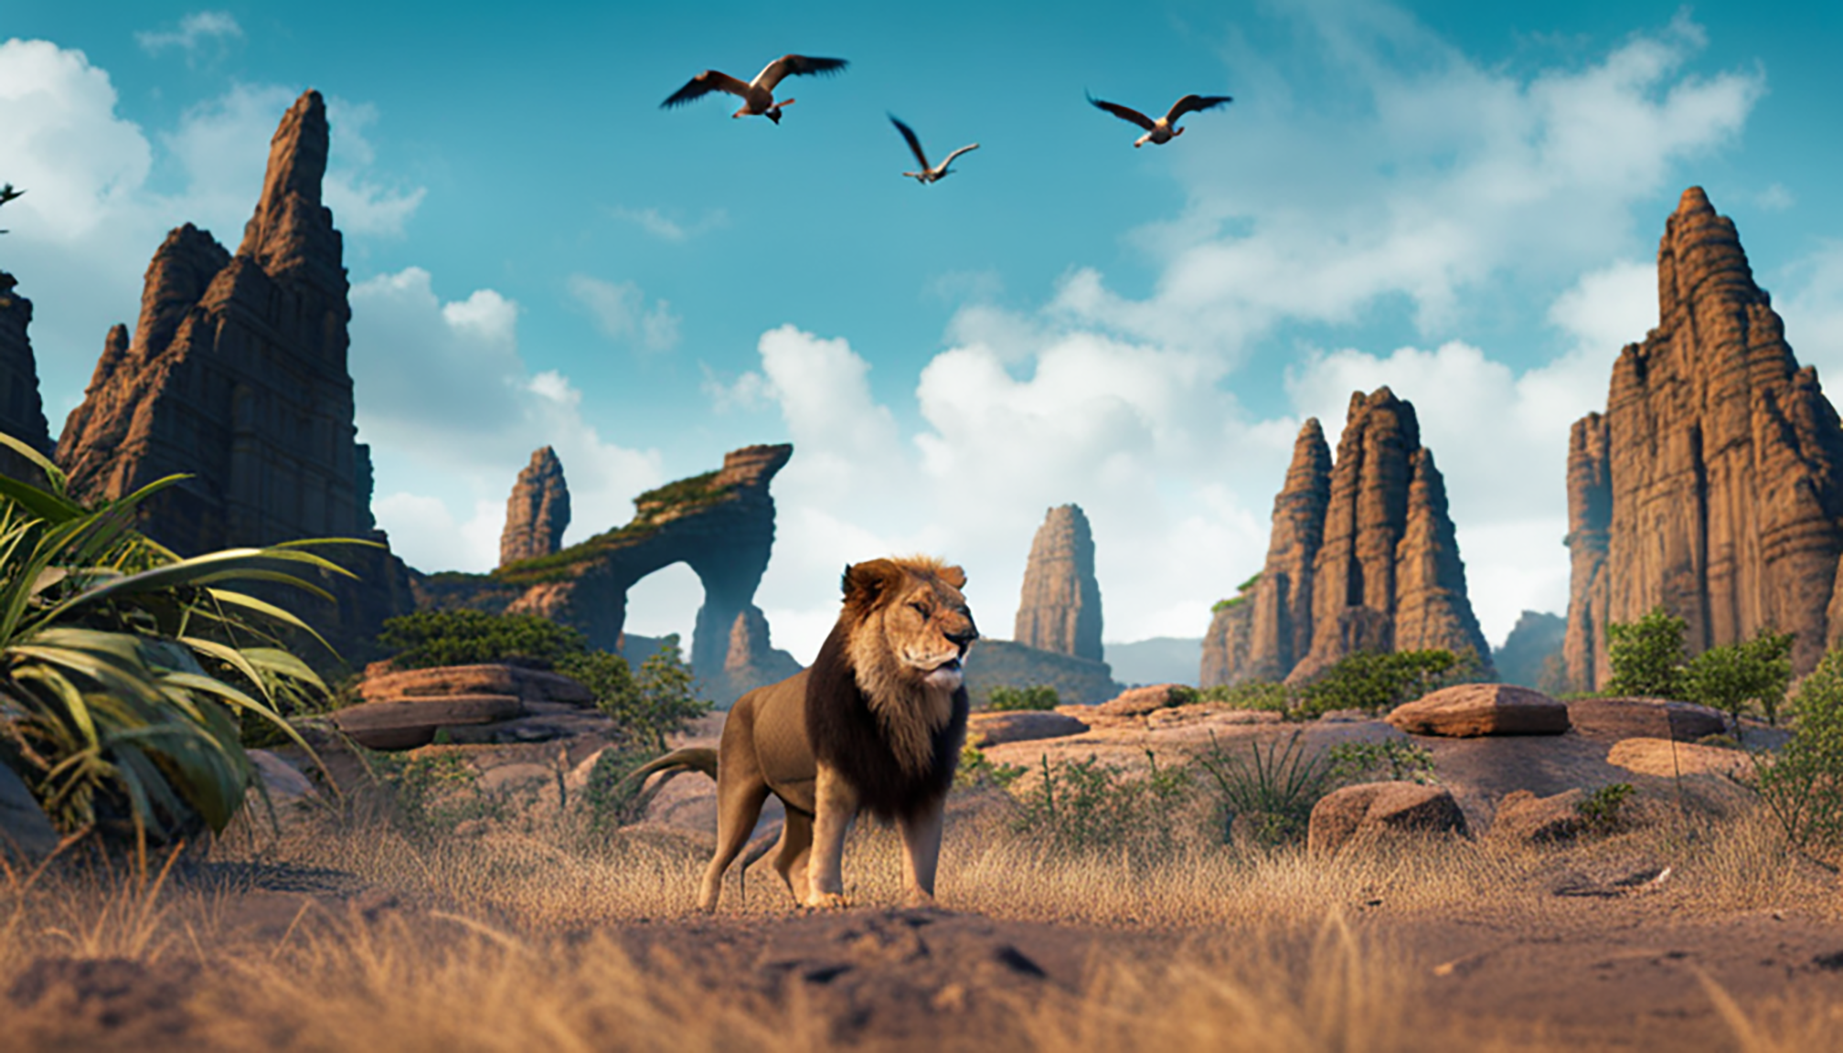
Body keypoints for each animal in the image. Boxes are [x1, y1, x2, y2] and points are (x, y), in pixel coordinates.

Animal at [629, 556, 977, 911]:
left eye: (963, 608)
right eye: (919, 607)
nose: (967, 637)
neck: (906, 701)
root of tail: (743, 701)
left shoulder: (928, 784)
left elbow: (924, 851)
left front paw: (922, 900)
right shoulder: (835, 778)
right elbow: (828, 845)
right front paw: (827, 897)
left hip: (799, 806)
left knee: (782, 860)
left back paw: (799, 901)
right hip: (740, 795)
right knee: (720, 859)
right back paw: (706, 907)